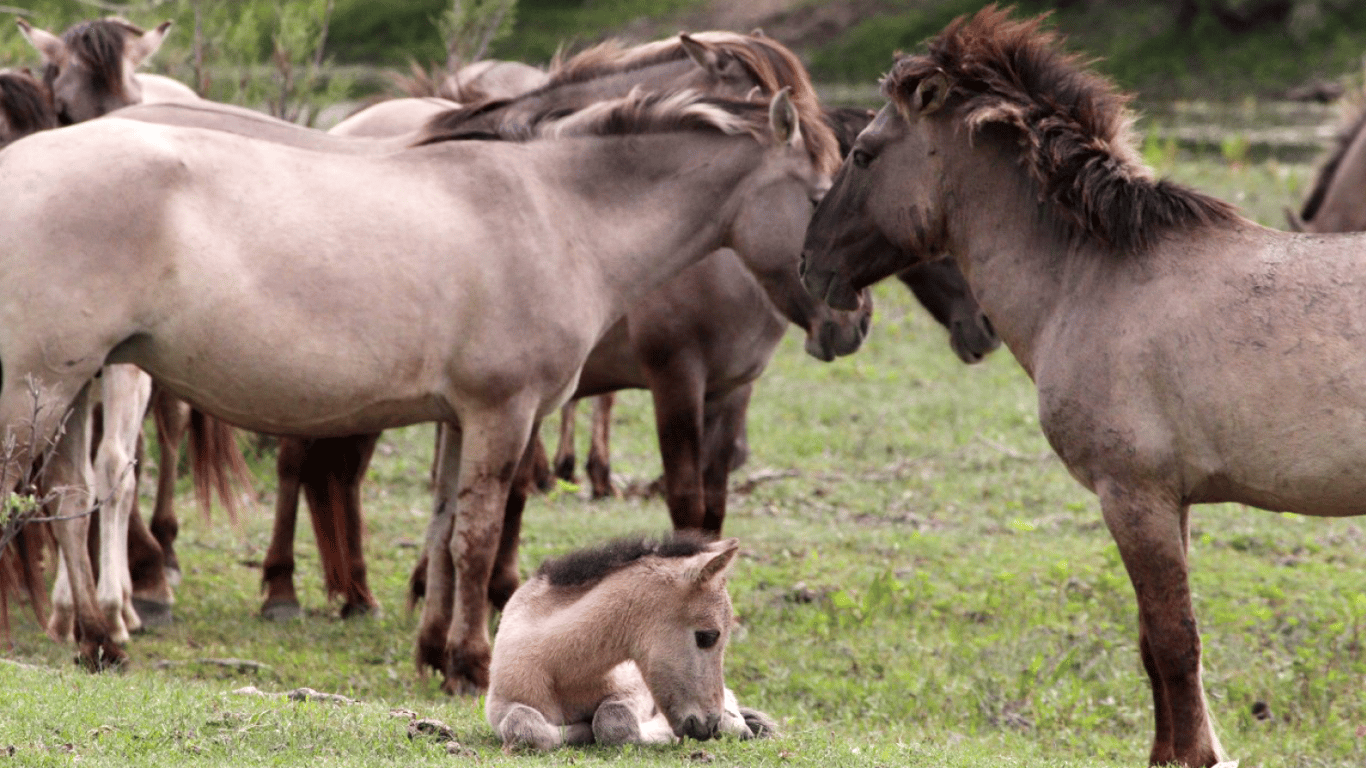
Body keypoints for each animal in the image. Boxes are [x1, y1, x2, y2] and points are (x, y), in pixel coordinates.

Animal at [0, 83, 835, 688]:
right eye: (823, 193)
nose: (844, 321)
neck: (558, 214)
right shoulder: (504, 413)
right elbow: (477, 541)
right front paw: (472, 662)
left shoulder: (461, 419)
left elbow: (441, 527)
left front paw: (433, 650)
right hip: (40, 388)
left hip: (78, 386)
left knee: (70, 500)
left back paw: (100, 641)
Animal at [797, 7, 1366, 765]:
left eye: (862, 155)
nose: (810, 263)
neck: (1095, 278)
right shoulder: (1167, 501)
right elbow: (1153, 645)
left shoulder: (1132, 495)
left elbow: (1175, 642)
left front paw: (1197, 755)